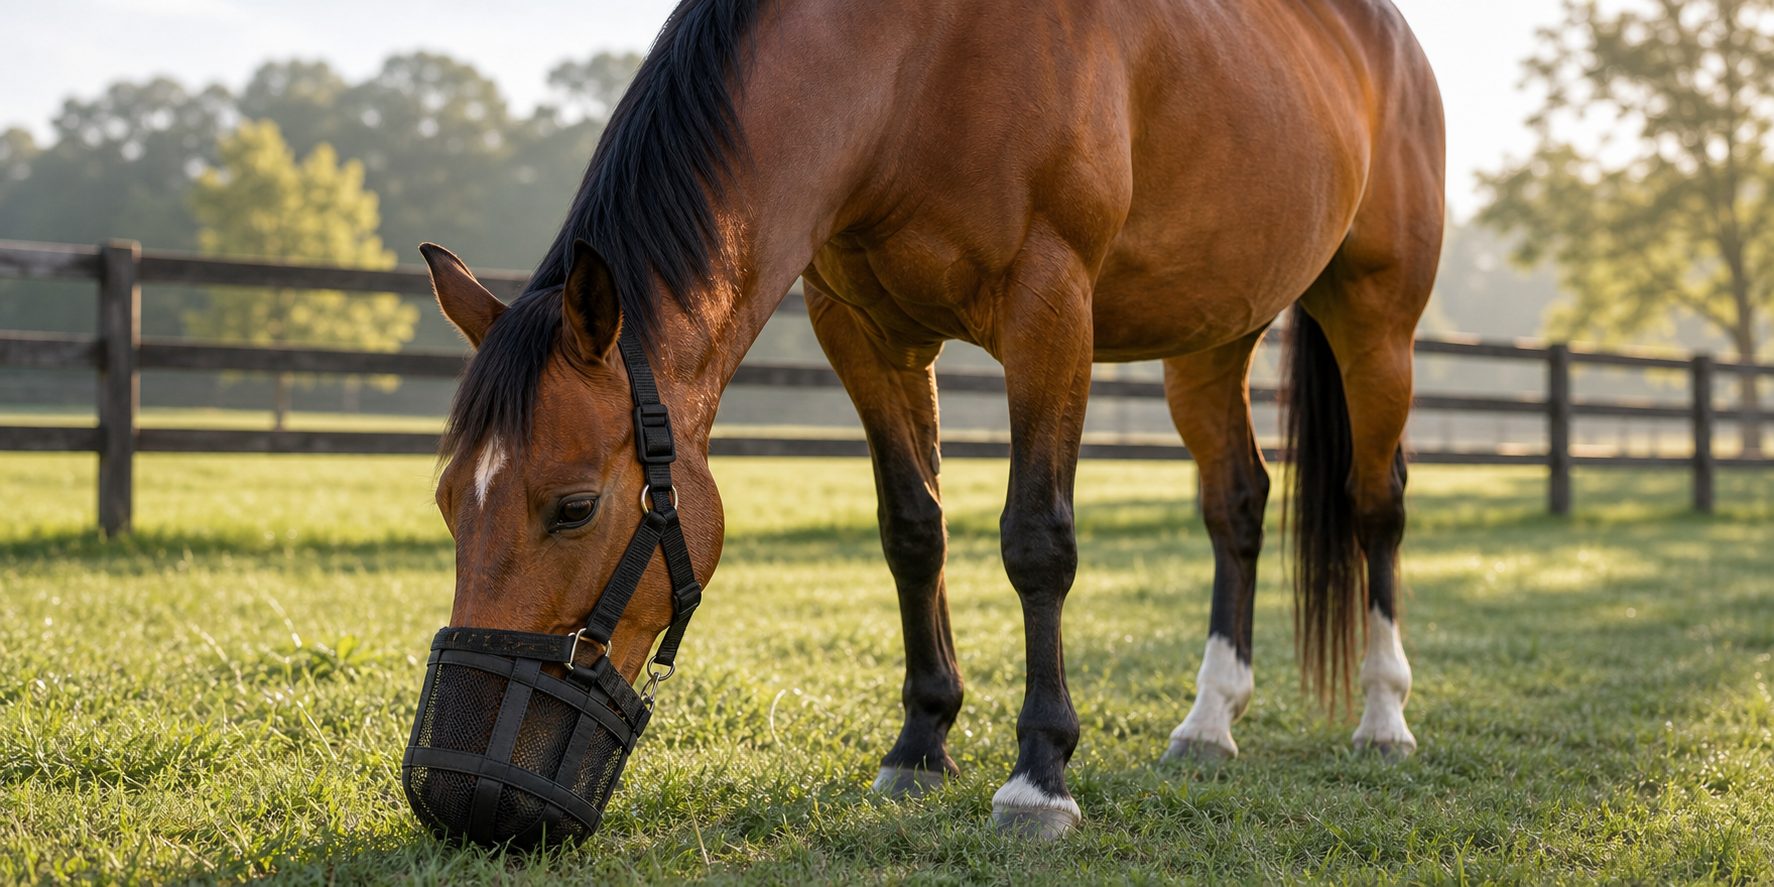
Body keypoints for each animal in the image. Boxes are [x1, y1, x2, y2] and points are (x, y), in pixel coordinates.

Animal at [415, 0, 1443, 841]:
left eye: (575, 507)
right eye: (448, 501)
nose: (461, 794)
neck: (917, 60)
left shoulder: (1049, 309)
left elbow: (1038, 542)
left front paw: (1039, 776)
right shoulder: (868, 335)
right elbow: (912, 530)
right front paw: (919, 743)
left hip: (1376, 322)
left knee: (1375, 502)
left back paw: (1385, 717)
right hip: (1211, 339)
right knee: (1237, 504)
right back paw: (1209, 721)